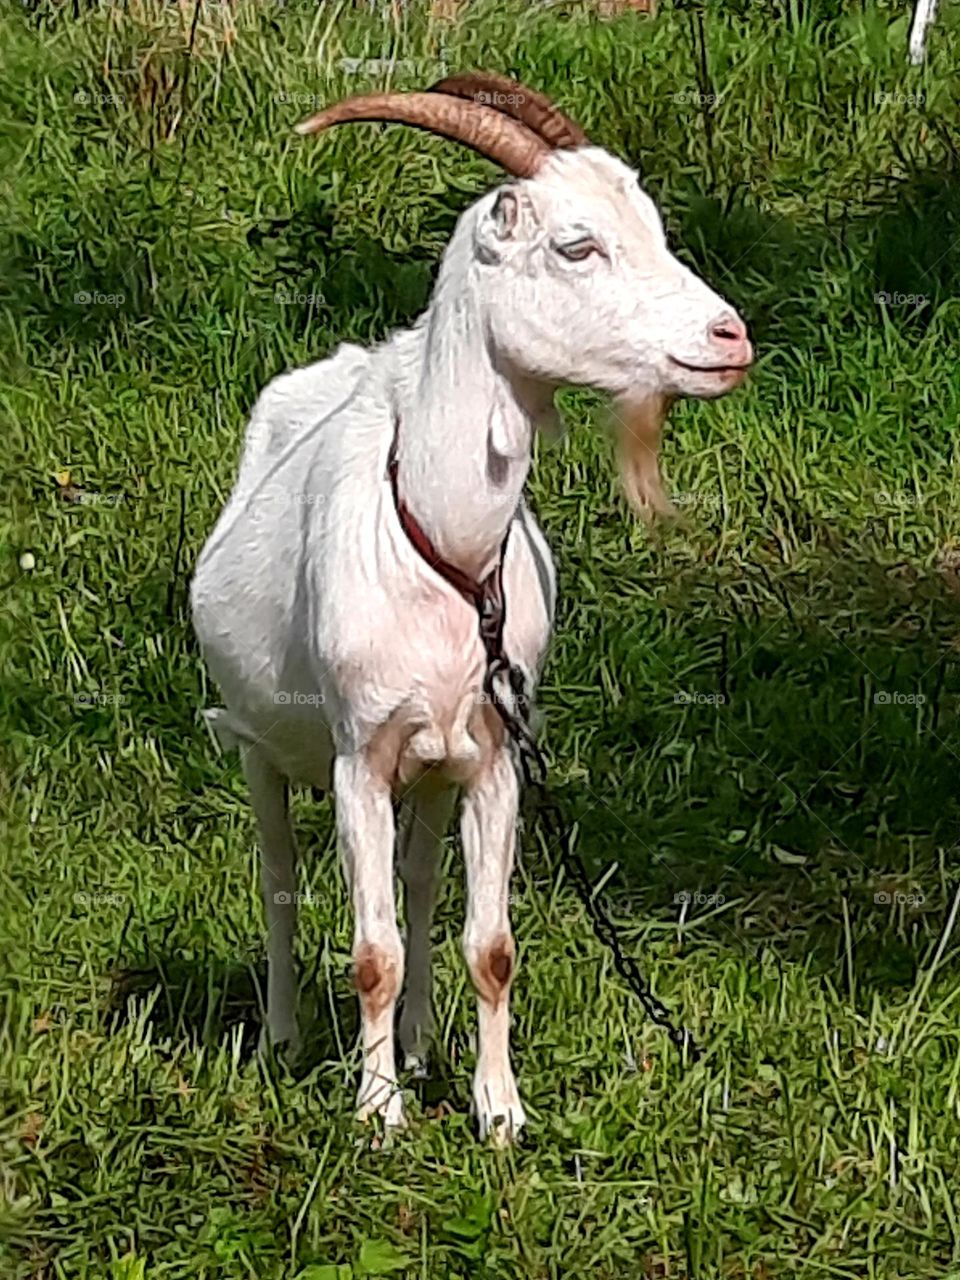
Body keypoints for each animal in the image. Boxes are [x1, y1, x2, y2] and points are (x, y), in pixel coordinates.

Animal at [192, 77, 757, 1141]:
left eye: (653, 228)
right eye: (577, 246)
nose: (730, 338)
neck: (447, 547)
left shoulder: (496, 758)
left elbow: (488, 945)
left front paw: (499, 1114)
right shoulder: (360, 760)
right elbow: (369, 951)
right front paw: (377, 1116)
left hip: (435, 769)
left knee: (418, 887)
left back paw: (418, 1048)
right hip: (259, 745)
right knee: (279, 879)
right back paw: (287, 1039)